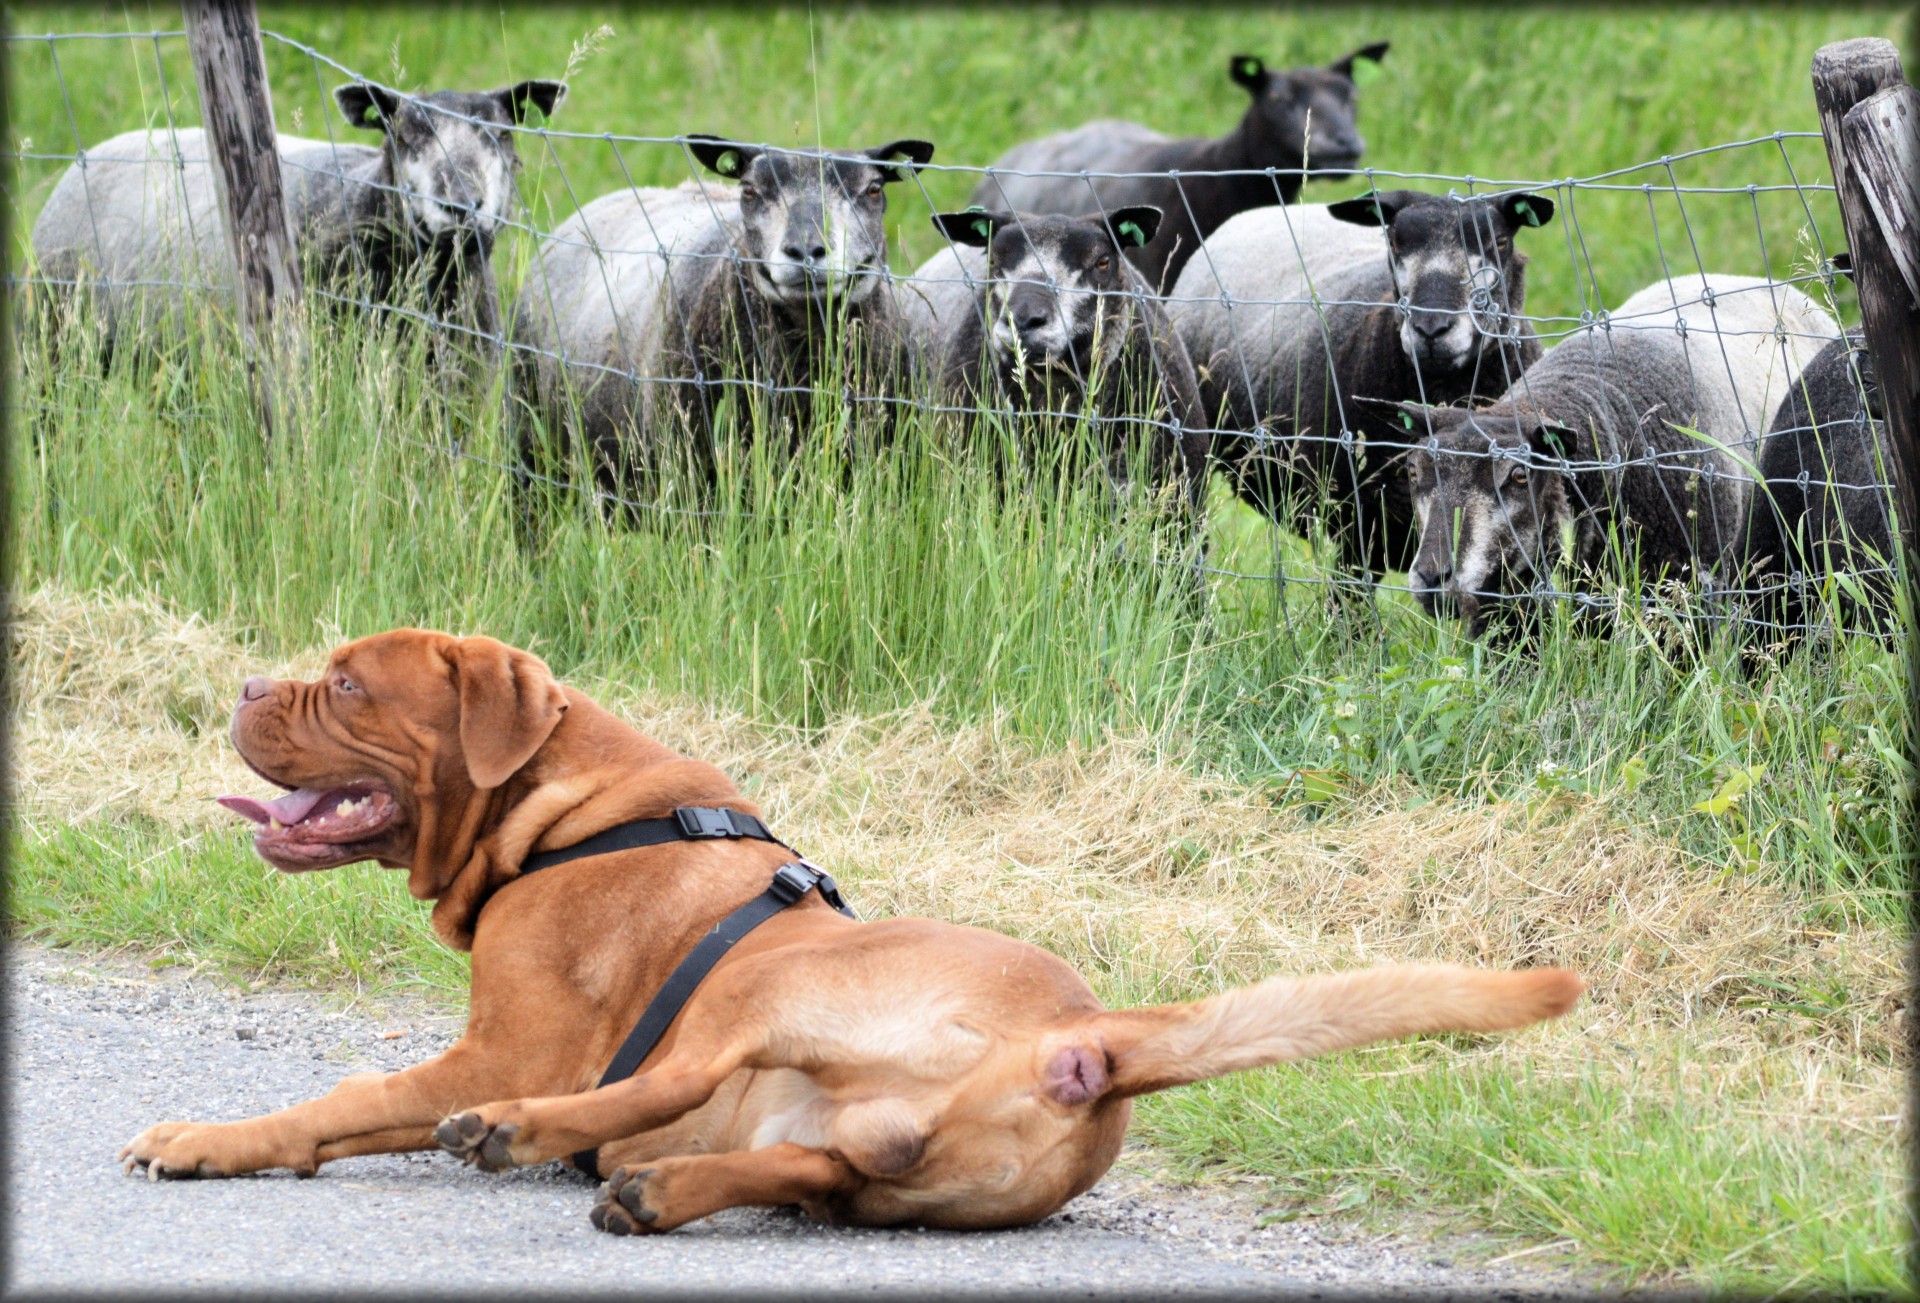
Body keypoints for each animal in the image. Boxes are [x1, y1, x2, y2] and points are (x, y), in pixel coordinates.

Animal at [123, 633, 1589, 1235]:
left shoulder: (503, 1043)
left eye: (350, 683)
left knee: (659, 1081)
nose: (245, 682)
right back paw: (659, 1190)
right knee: (815, 1168)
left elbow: (337, 1099)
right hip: (888, 1174)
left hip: (774, 997)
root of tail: (1087, 1041)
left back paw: (526, 1136)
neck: (562, 809)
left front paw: (206, 1138)